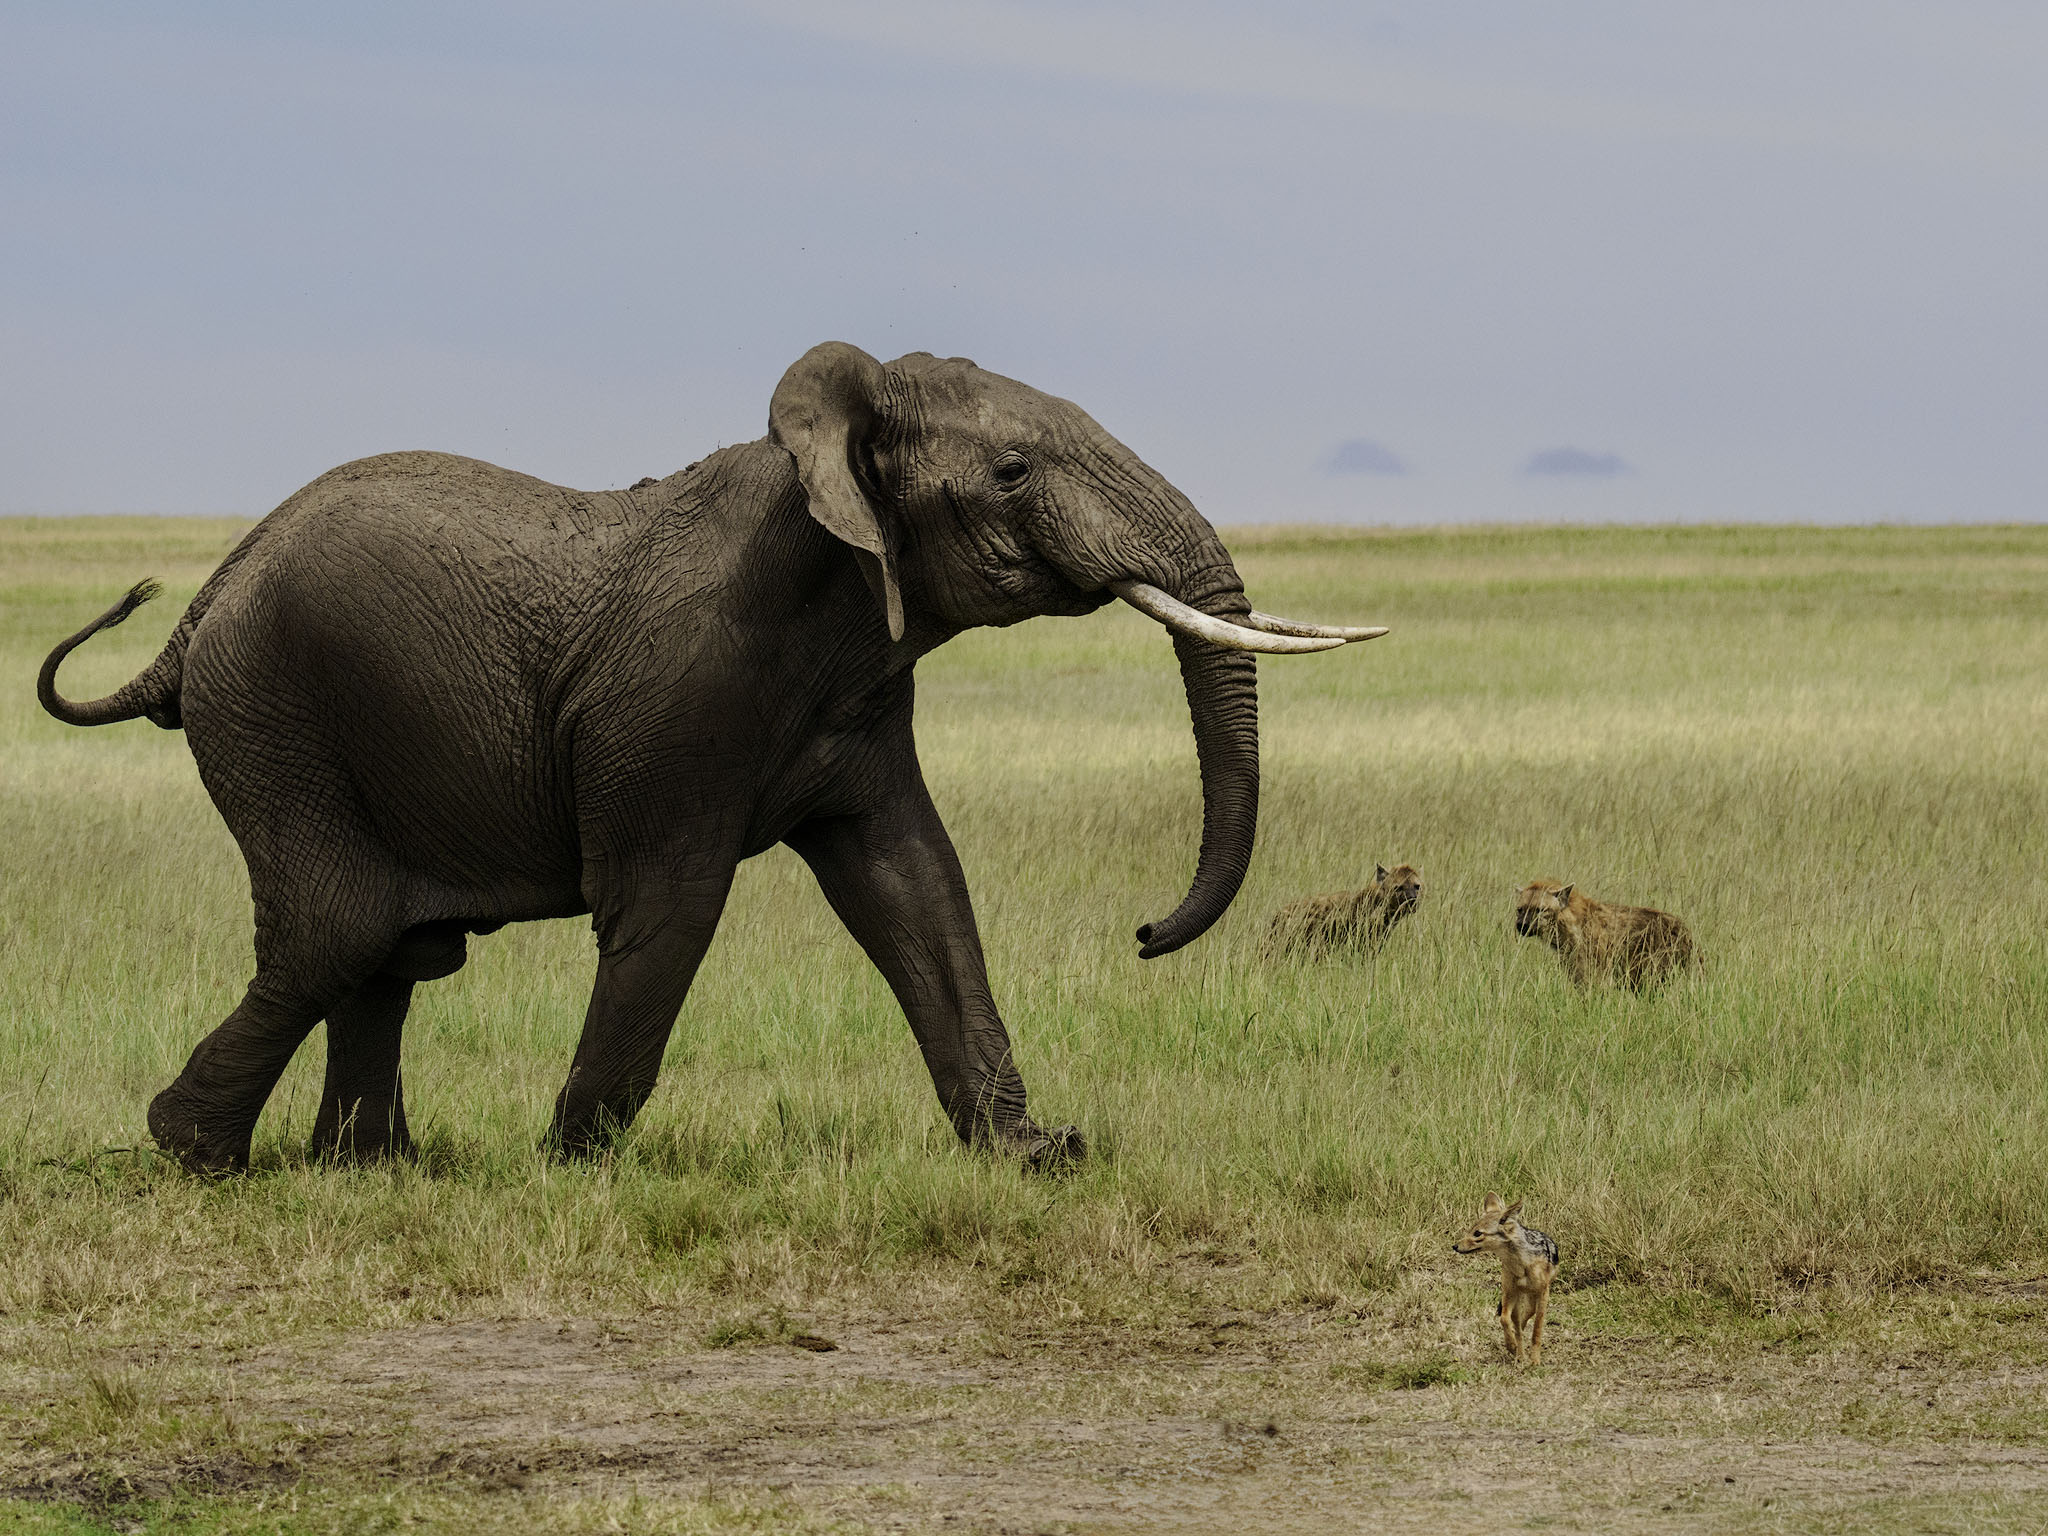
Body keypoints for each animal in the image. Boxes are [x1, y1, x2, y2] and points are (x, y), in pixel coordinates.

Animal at [39, 342, 1383, 1175]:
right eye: (1010, 472)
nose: (1146, 934)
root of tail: (194, 613)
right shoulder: (678, 697)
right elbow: (671, 908)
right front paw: (570, 1163)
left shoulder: (864, 690)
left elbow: (914, 888)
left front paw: (1036, 1158)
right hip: (276, 718)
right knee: (339, 931)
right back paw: (194, 1154)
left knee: (388, 952)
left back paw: (371, 1170)